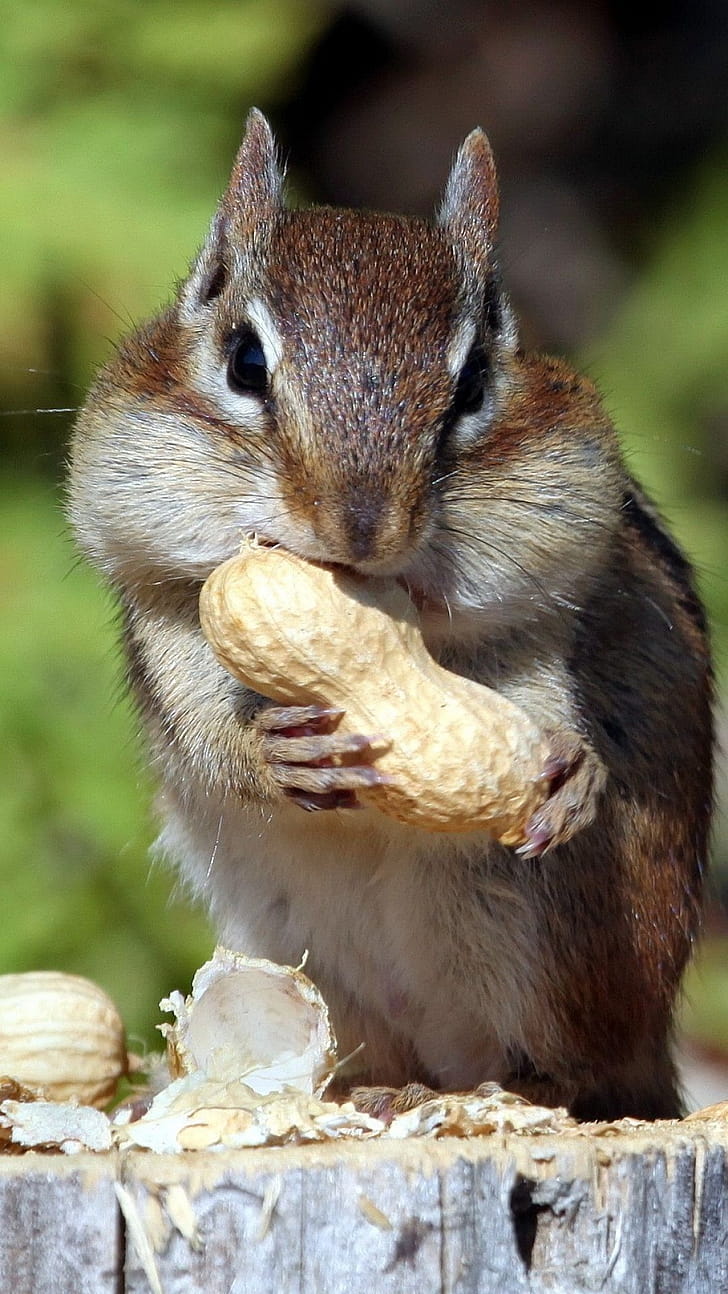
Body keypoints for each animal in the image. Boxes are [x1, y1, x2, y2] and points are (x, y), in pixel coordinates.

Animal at [68, 109, 713, 1121]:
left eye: (475, 384)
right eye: (244, 361)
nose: (360, 528)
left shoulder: (541, 614)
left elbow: (543, 704)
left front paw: (572, 775)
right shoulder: (167, 617)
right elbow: (203, 730)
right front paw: (270, 754)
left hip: (554, 937)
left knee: (581, 1074)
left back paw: (479, 1090)